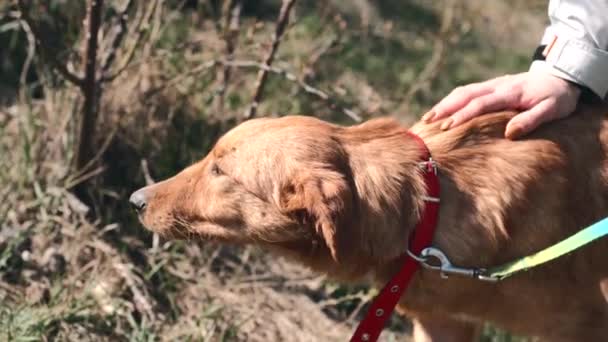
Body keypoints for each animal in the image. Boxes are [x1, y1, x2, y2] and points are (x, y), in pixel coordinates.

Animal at [131, 100, 608, 340]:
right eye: (210, 157)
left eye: (220, 171)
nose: (136, 200)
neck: (427, 206)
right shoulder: (442, 322)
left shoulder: (580, 330)